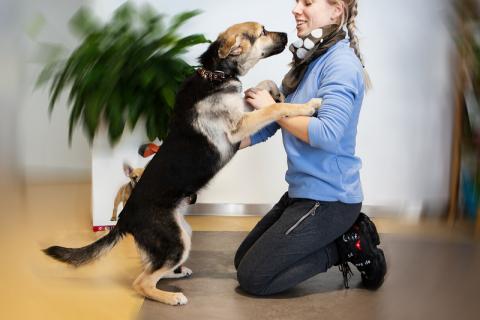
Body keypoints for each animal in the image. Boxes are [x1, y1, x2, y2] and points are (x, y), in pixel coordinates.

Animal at [44, 21, 322, 306]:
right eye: (262, 32)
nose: (288, 34)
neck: (216, 73)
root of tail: (124, 219)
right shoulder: (237, 127)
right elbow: (273, 110)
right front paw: (306, 105)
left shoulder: (241, 114)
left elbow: (261, 89)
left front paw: (276, 92)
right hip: (176, 241)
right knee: (142, 282)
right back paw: (171, 297)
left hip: (182, 234)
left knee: (152, 268)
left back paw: (177, 273)